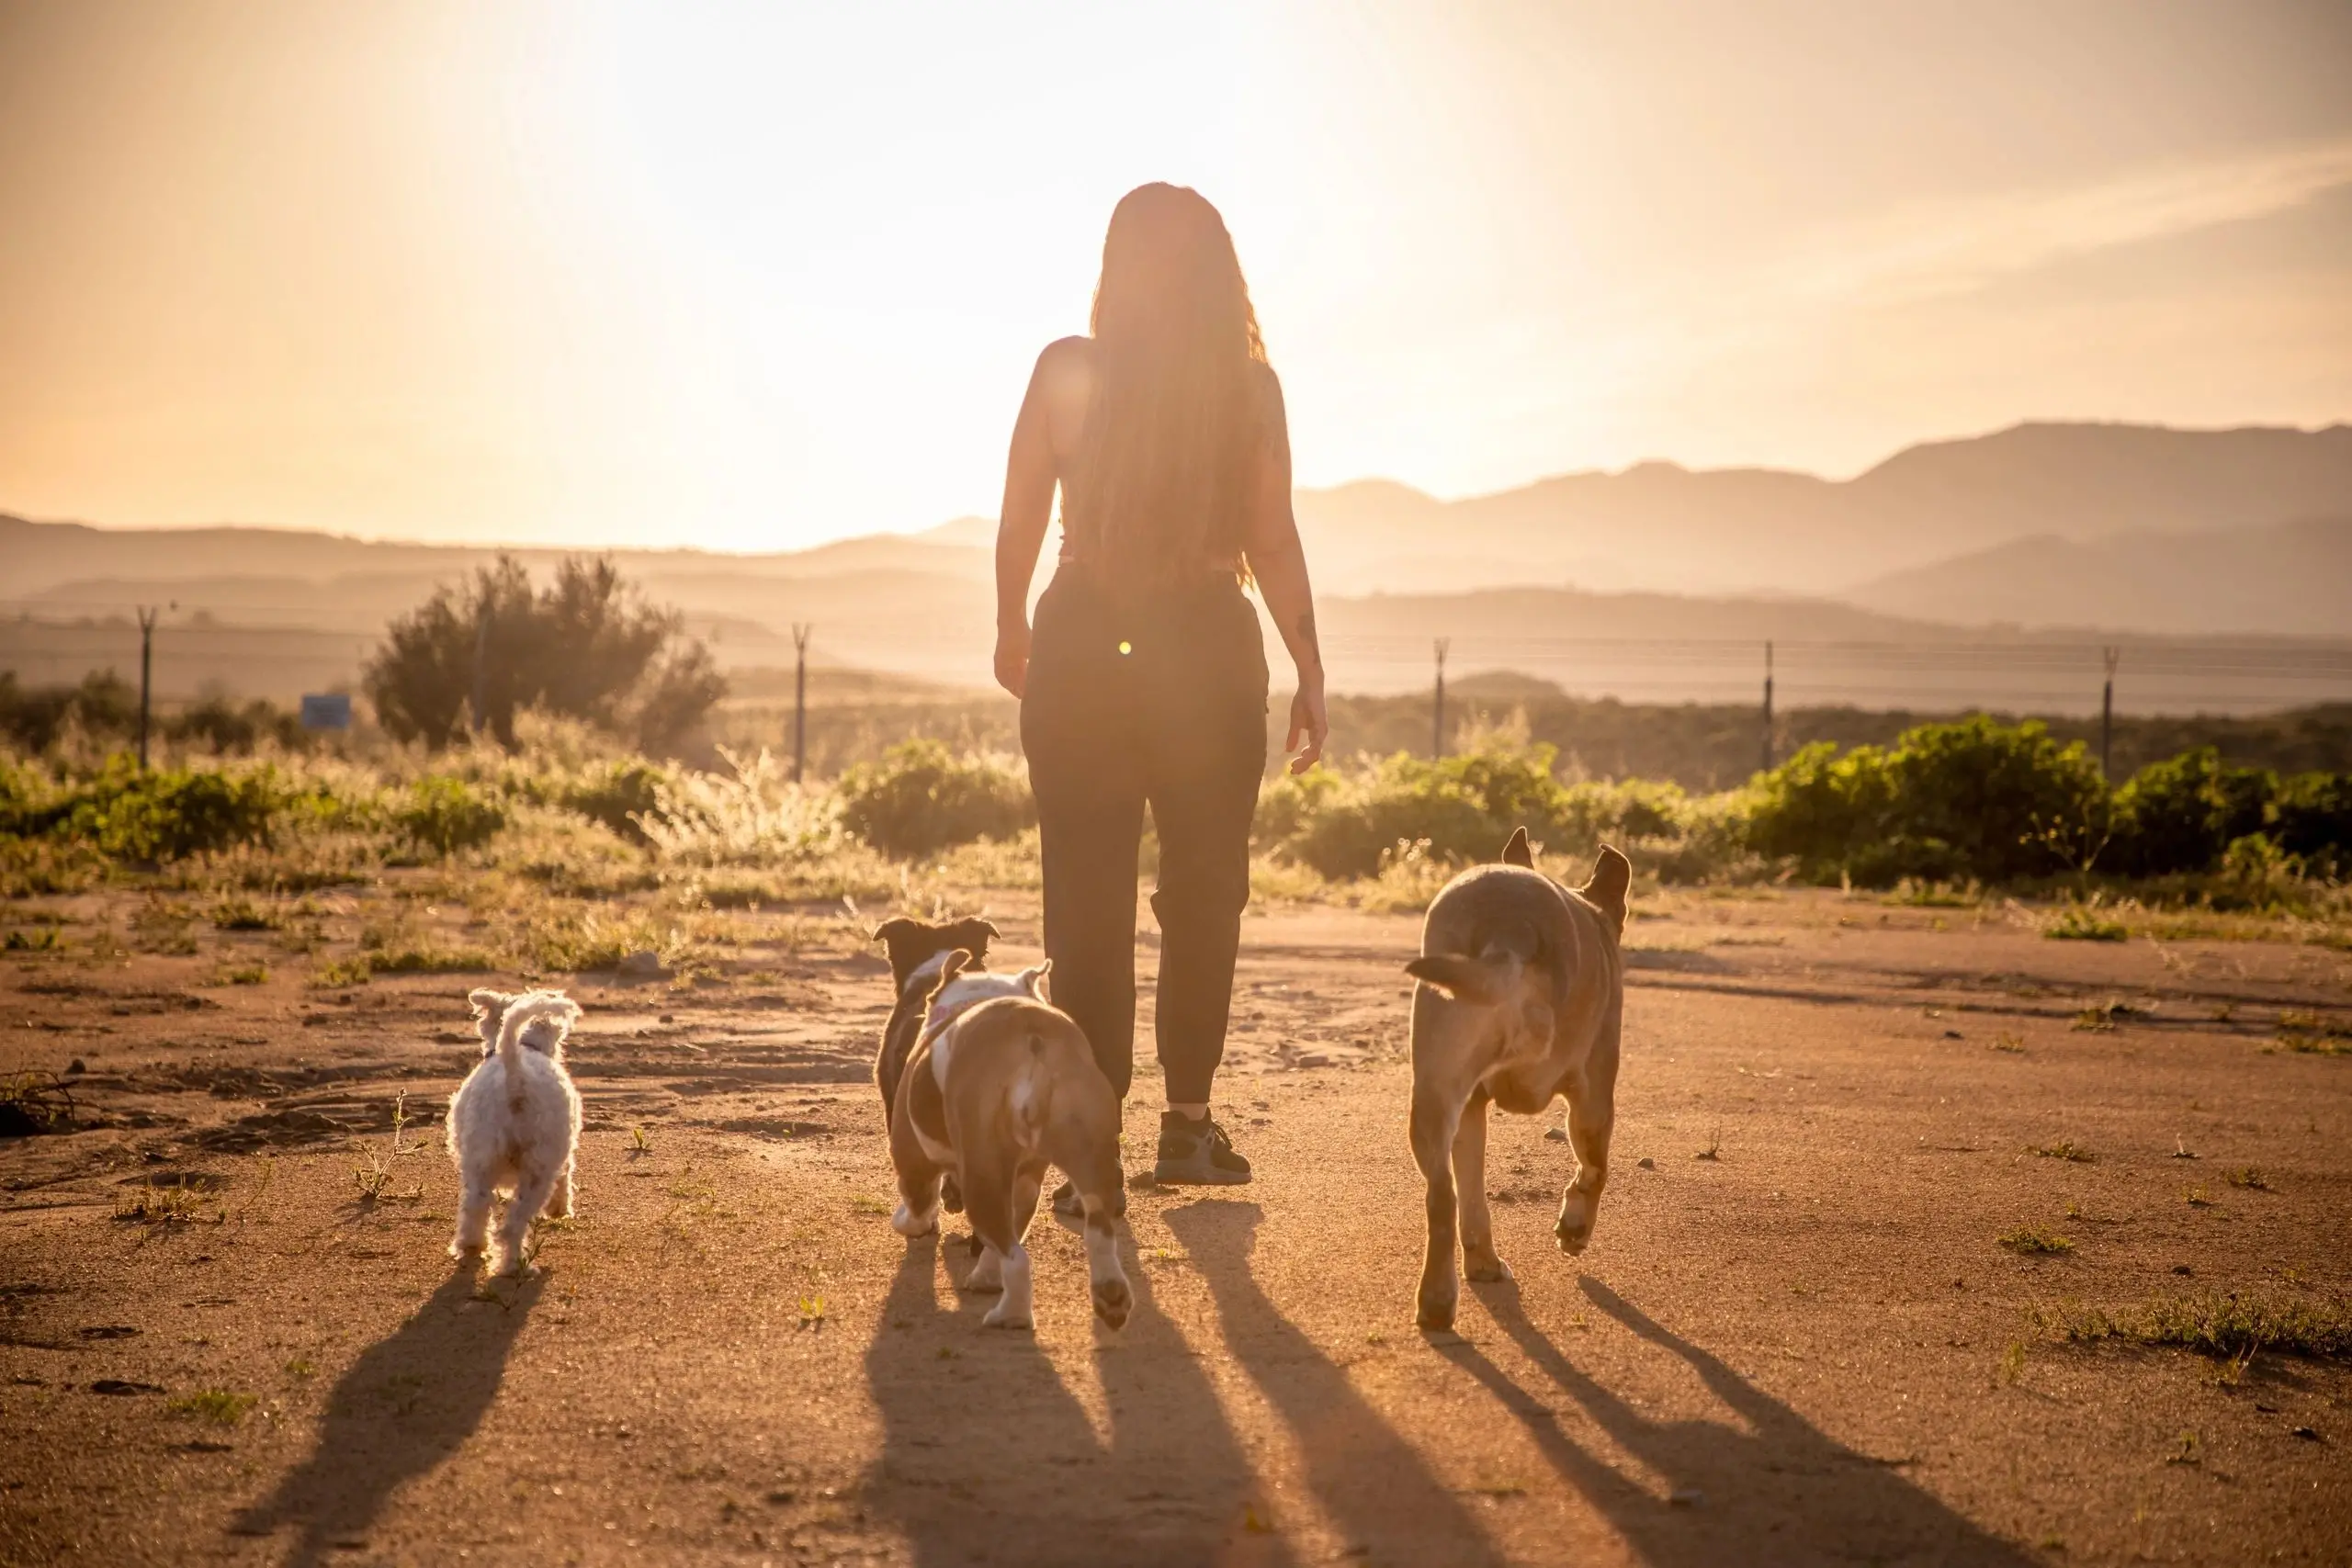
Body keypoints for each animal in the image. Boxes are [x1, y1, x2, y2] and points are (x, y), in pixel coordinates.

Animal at [447, 991, 585, 1279]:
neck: (525, 1046)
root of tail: (517, 1079)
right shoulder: (564, 1152)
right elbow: (566, 1175)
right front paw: (559, 1209)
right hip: (539, 1169)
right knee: (514, 1223)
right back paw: (513, 1264)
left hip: (481, 1159)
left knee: (476, 1207)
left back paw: (472, 1246)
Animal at [884, 949, 1133, 1335]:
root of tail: (1032, 1043)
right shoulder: (1025, 1182)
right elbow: (1004, 1235)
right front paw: (986, 1276)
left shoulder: (913, 1163)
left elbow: (919, 1206)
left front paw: (909, 1223)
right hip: (1090, 1154)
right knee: (1098, 1233)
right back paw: (1111, 1296)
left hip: (981, 1173)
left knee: (1016, 1258)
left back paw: (1011, 1315)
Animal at [1401, 827, 1627, 1335]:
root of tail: (1514, 928)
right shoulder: (1595, 1095)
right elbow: (1595, 1169)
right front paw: (1575, 1227)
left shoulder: (1470, 1108)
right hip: (1566, 1073)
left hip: (1435, 1092)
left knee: (1443, 1194)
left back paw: (1442, 1296)